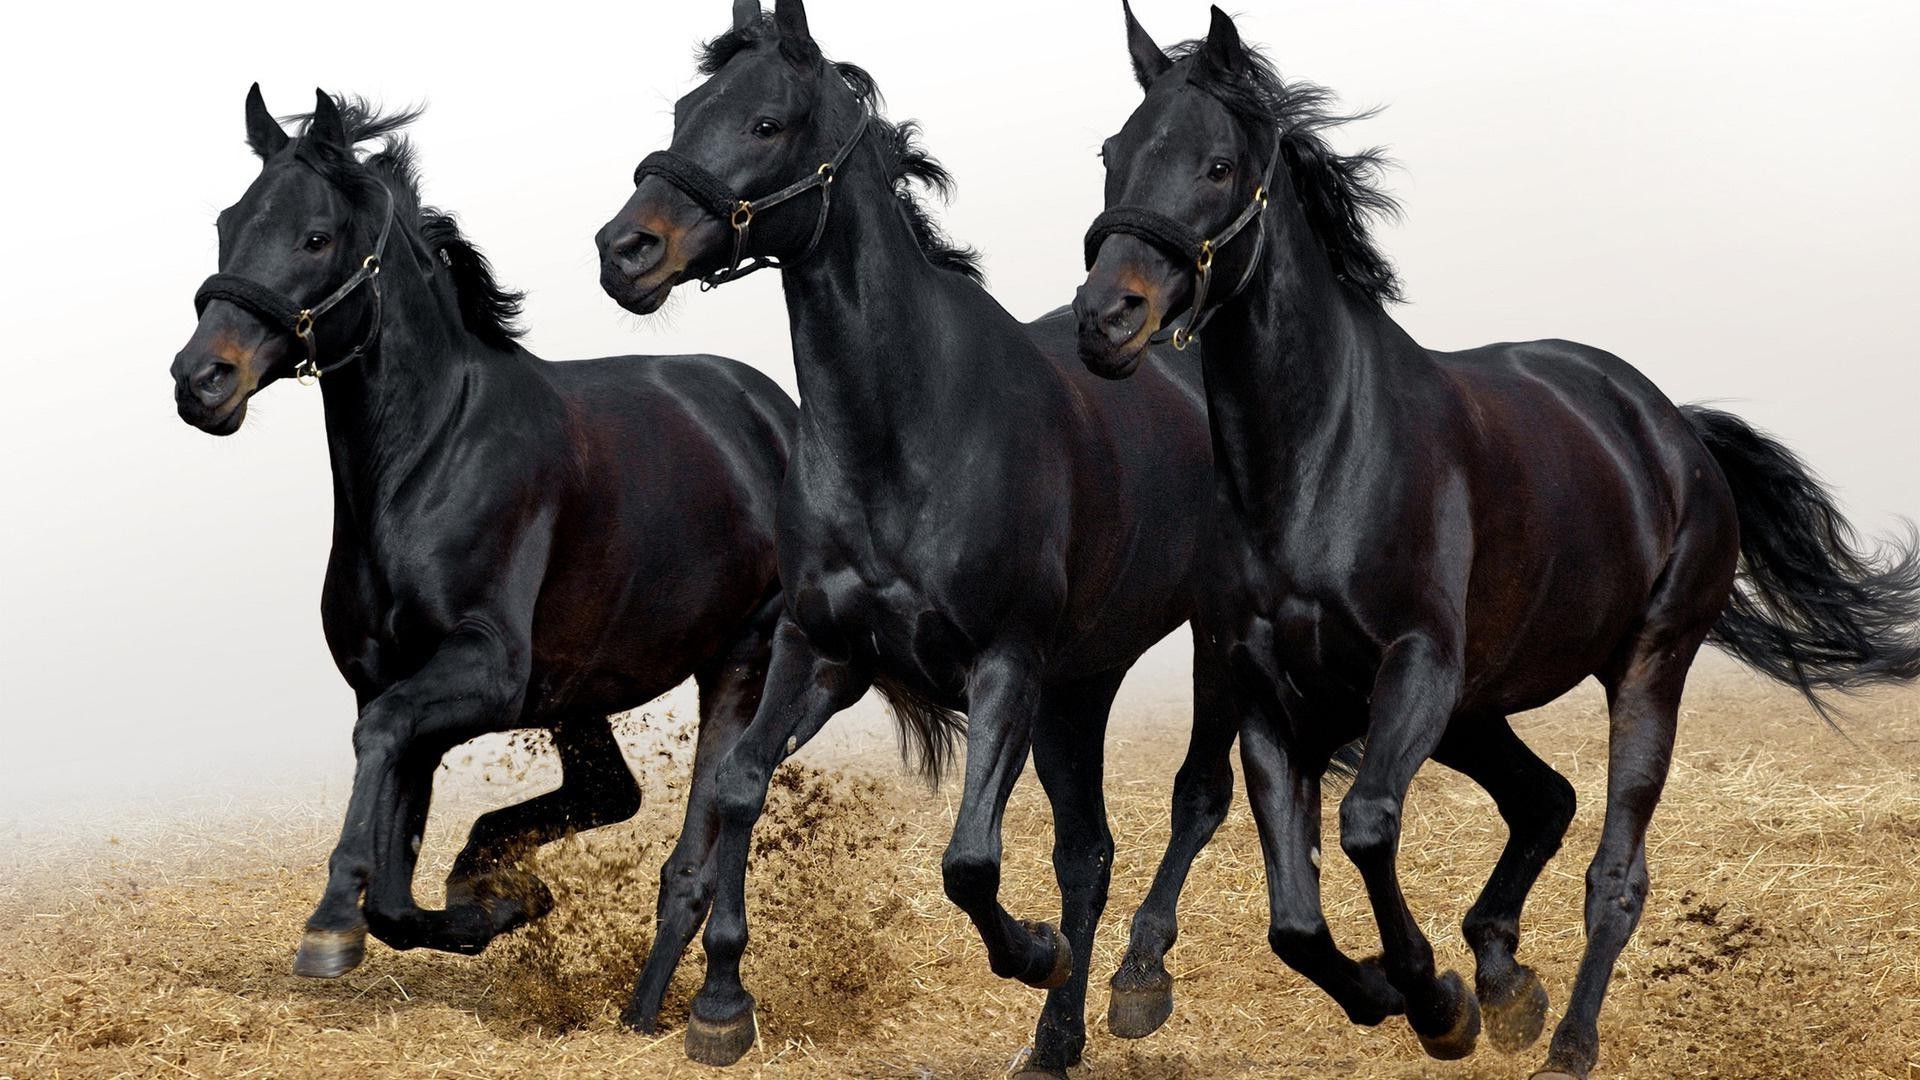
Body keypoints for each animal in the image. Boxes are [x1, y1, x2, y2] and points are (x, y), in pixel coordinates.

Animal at [167, 88, 794, 980]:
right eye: (228, 223)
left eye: (315, 236)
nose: (201, 380)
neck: (428, 462)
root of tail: (776, 413)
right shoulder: (393, 679)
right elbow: (395, 887)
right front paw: (493, 906)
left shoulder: (483, 671)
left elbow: (380, 748)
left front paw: (331, 921)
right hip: (580, 690)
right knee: (611, 791)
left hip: (740, 658)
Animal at [591, 4, 1213, 1068]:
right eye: (683, 109)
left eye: (766, 122)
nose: (624, 250)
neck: (905, 430)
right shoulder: (822, 649)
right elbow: (739, 786)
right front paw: (720, 1004)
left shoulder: (1004, 666)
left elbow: (969, 861)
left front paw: (1032, 950)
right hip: (1082, 684)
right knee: (1088, 852)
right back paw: (1058, 1041)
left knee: (1196, 798)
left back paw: (1137, 982)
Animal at [1075, 10, 1920, 1076]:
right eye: (1112, 153)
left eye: (1219, 165)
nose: (1106, 319)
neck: (1318, 460)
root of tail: (1671, 429)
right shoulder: (1270, 689)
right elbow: (1293, 918)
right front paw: (1398, 992)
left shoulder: (1417, 667)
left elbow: (1363, 826)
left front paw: (1434, 1002)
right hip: (1478, 706)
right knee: (1544, 799)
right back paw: (1507, 981)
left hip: (1645, 666)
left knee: (1614, 870)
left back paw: (1565, 1040)